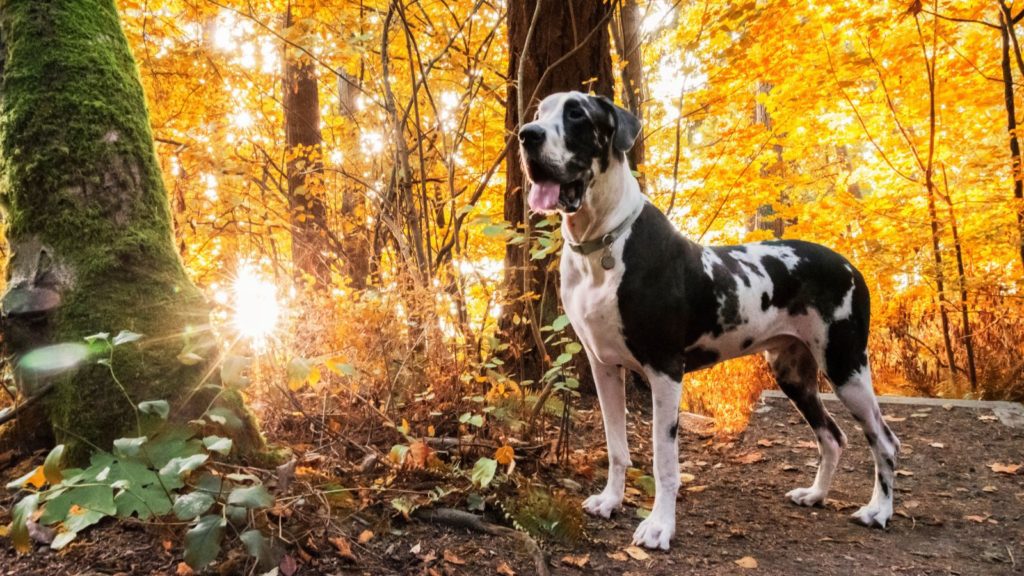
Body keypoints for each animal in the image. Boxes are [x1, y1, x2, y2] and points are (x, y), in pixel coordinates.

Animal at [524, 91, 901, 549]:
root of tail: (851, 266)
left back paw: (879, 511)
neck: (603, 244)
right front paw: (611, 501)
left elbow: (664, 461)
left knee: (884, 441)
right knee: (832, 436)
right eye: (539, 113)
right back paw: (815, 495)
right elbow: (616, 447)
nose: (526, 135)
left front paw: (659, 526)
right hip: (793, 372)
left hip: (846, 367)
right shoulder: (604, 367)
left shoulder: (665, 371)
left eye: (577, 113)